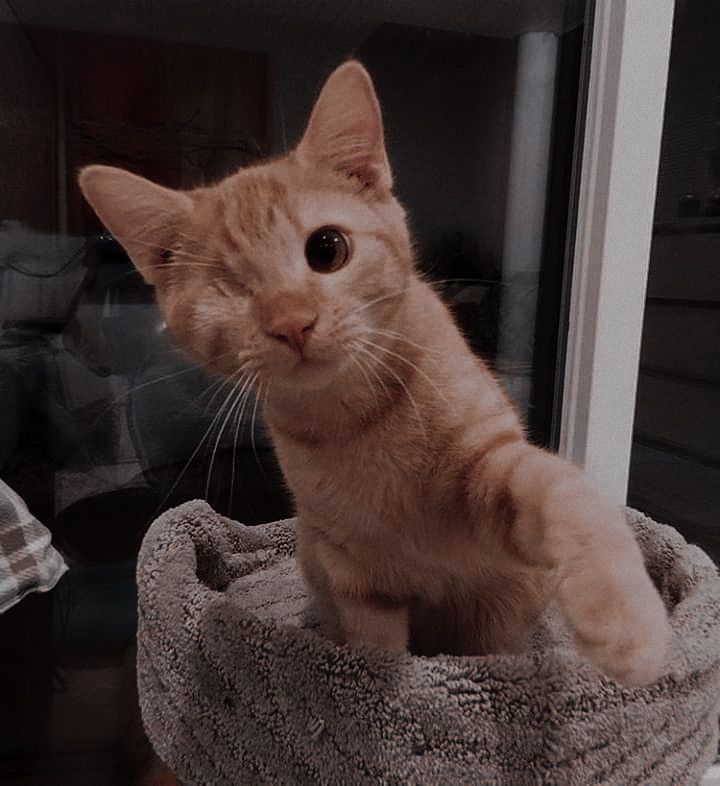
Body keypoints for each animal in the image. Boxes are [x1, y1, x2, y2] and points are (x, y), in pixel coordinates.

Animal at [79, 61, 668, 684]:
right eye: (230, 290)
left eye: (327, 249)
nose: (292, 323)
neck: (355, 418)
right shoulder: (353, 571)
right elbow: (375, 648)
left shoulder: (492, 468)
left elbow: (565, 492)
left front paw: (627, 621)